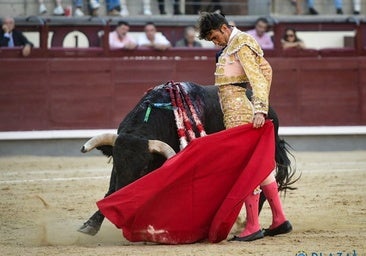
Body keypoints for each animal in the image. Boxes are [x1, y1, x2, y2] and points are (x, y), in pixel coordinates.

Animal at [78, 81, 298, 236]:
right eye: (117, 165)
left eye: (144, 169)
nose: (119, 210)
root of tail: (270, 112)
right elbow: (110, 191)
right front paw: (90, 225)